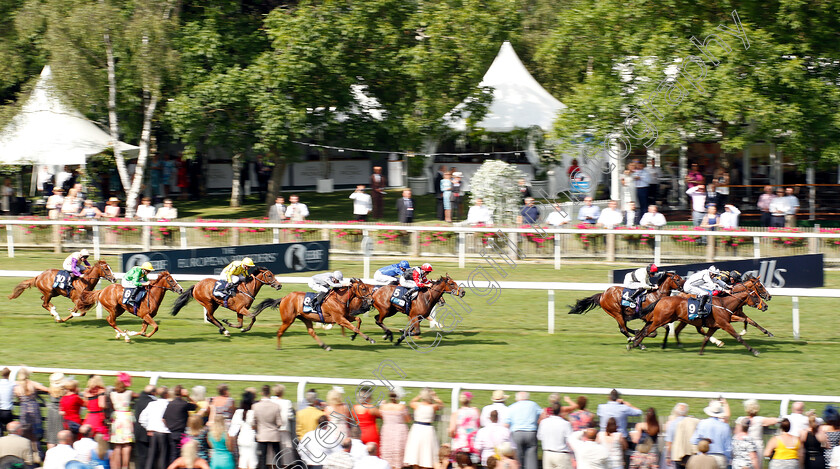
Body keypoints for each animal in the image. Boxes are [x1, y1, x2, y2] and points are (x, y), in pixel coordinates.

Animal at [632, 282, 768, 354]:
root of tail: (662, 299)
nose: (766, 304)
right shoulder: (725, 323)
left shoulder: (716, 325)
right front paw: (754, 350)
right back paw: (634, 343)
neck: (724, 303)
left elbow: (706, 338)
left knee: (652, 329)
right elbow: (739, 336)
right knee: (647, 331)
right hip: (661, 320)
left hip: (671, 319)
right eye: (757, 291)